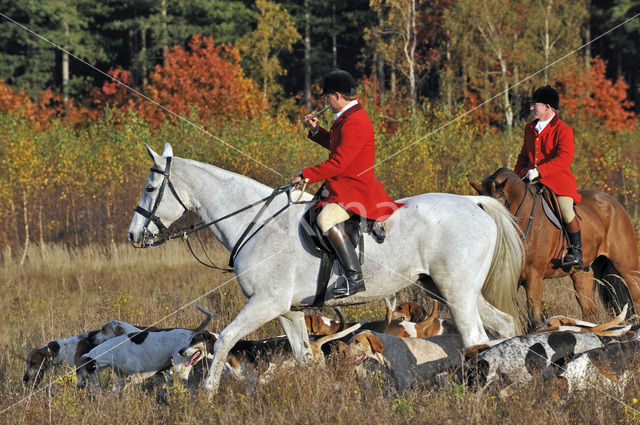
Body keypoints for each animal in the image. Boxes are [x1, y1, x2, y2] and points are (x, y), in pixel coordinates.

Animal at [127, 144, 524, 392]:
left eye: (149, 187)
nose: (133, 235)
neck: (256, 223)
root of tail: (473, 202)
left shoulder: (265, 303)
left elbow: (224, 339)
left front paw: (207, 396)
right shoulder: (287, 311)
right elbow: (305, 358)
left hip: (457, 292)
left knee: (475, 338)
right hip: (447, 289)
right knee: (502, 325)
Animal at [464, 167, 640, 326]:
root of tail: (614, 203)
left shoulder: (534, 277)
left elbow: (534, 319)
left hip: (627, 268)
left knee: (635, 297)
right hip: (582, 273)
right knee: (589, 311)